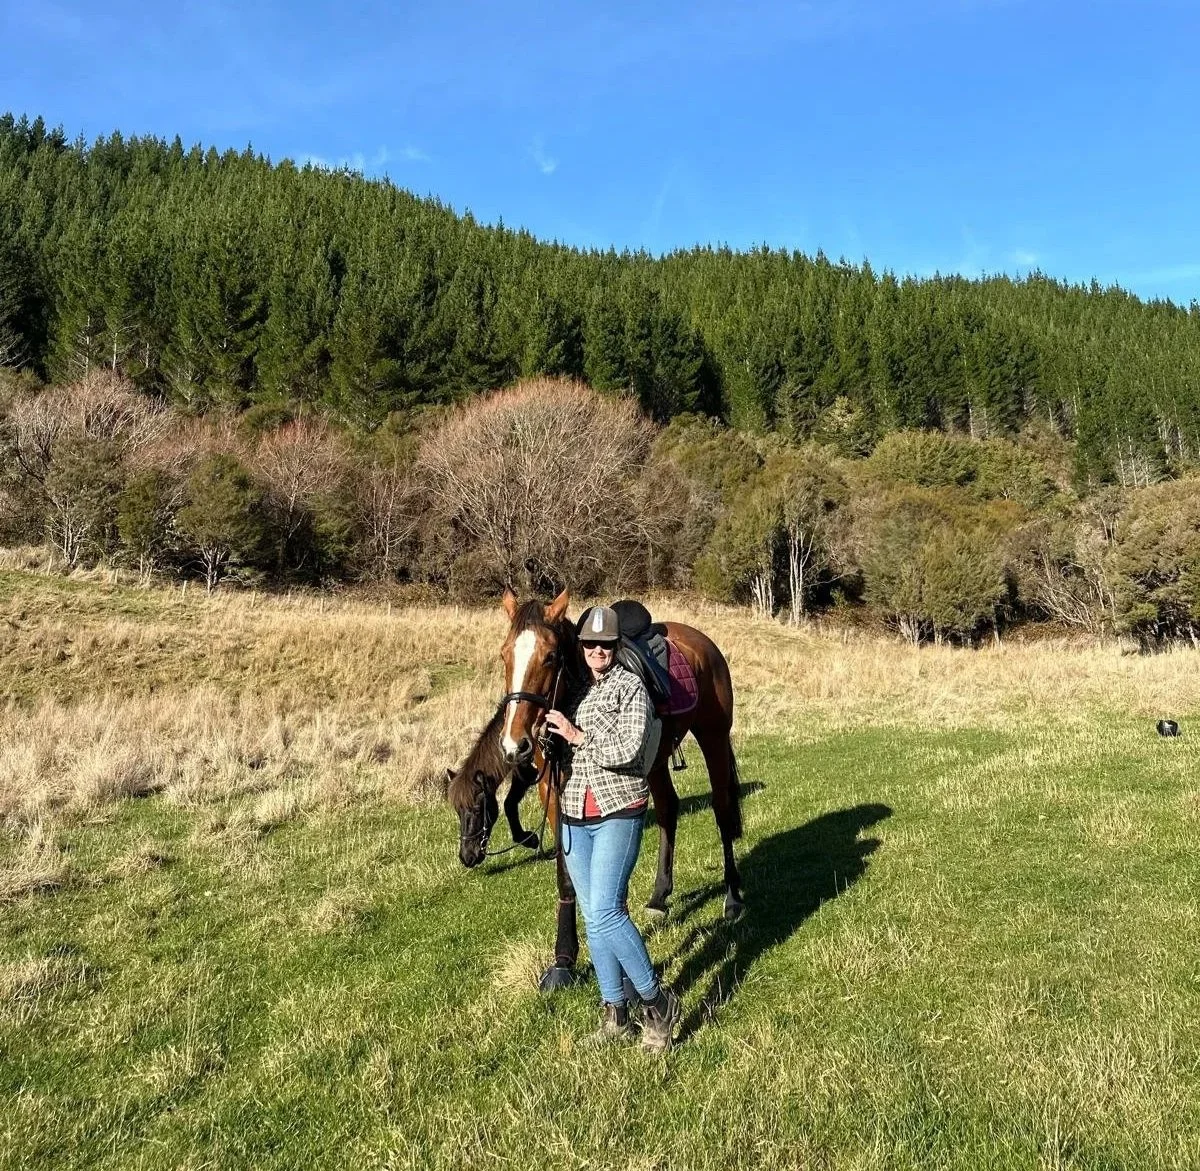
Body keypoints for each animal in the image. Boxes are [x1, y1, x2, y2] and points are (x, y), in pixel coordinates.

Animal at [447, 588, 744, 990]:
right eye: (504, 654)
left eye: (550, 656)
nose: (514, 745)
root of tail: (702, 641)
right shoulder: (552, 791)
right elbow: (567, 876)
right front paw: (563, 960)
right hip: (654, 760)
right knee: (668, 809)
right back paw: (659, 896)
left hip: (713, 736)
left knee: (723, 811)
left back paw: (732, 896)